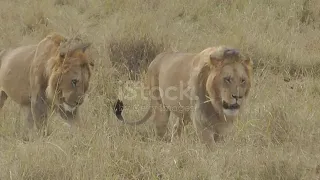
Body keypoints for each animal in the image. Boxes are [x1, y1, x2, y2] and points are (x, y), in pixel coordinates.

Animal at [114, 45, 254, 148]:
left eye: (242, 80)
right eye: (227, 79)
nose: (238, 96)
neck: (217, 105)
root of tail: (156, 58)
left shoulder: (222, 125)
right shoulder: (200, 121)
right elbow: (210, 146)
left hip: (184, 114)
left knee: (176, 128)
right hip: (161, 107)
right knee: (160, 130)